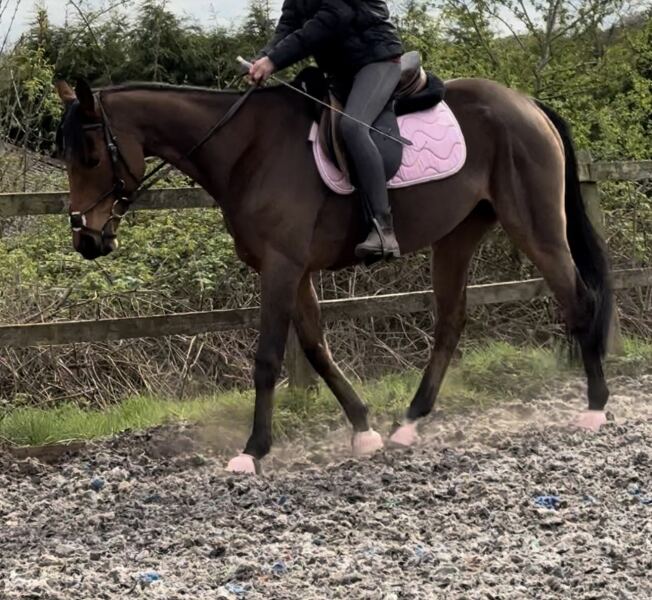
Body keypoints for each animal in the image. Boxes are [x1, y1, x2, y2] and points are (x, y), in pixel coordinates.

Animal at [54, 75, 613, 474]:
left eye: (91, 155)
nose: (87, 239)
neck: (245, 148)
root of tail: (527, 104)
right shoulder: (294, 270)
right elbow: (316, 349)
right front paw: (363, 430)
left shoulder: (281, 266)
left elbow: (268, 357)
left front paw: (252, 451)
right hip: (458, 235)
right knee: (451, 322)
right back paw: (409, 424)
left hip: (535, 226)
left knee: (579, 300)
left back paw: (595, 409)